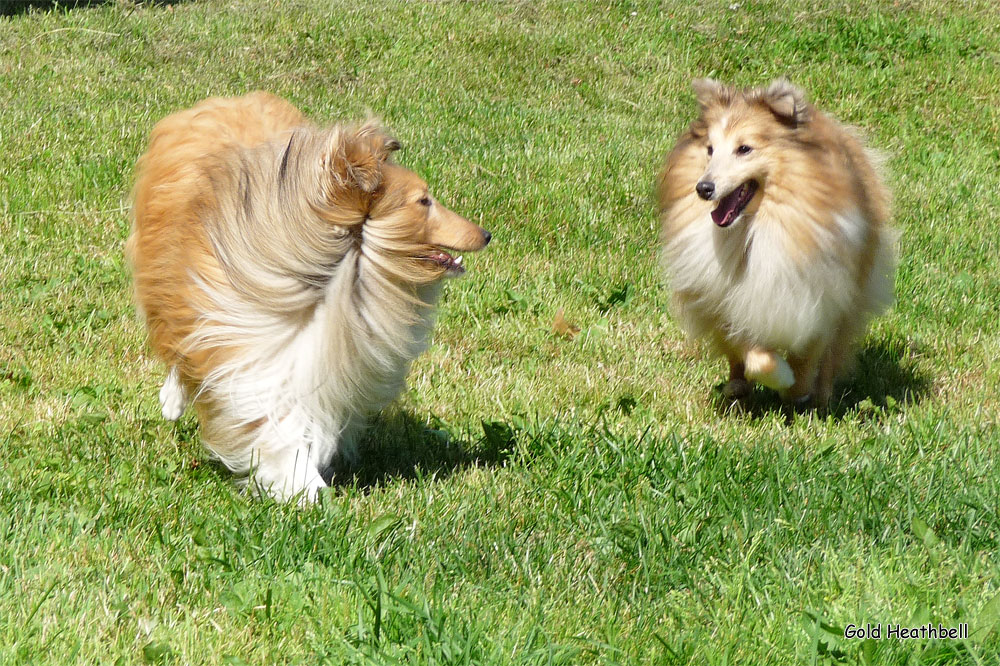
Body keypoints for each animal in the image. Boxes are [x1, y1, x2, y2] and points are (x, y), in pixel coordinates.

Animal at [129, 92, 492, 498]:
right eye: (423, 201)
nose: (486, 234)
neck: (340, 275)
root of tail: (228, 100)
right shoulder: (250, 344)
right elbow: (275, 422)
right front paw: (308, 489)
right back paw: (173, 401)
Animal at [656, 78, 900, 404]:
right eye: (710, 149)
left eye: (744, 149)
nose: (703, 188)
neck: (756, 228)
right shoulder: (729, 302)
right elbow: (754, 355)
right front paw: (781, 378)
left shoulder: (817, 301)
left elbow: (807, 356)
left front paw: (797, 390)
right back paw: (737, 390)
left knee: (831, 357)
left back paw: (821, 399)